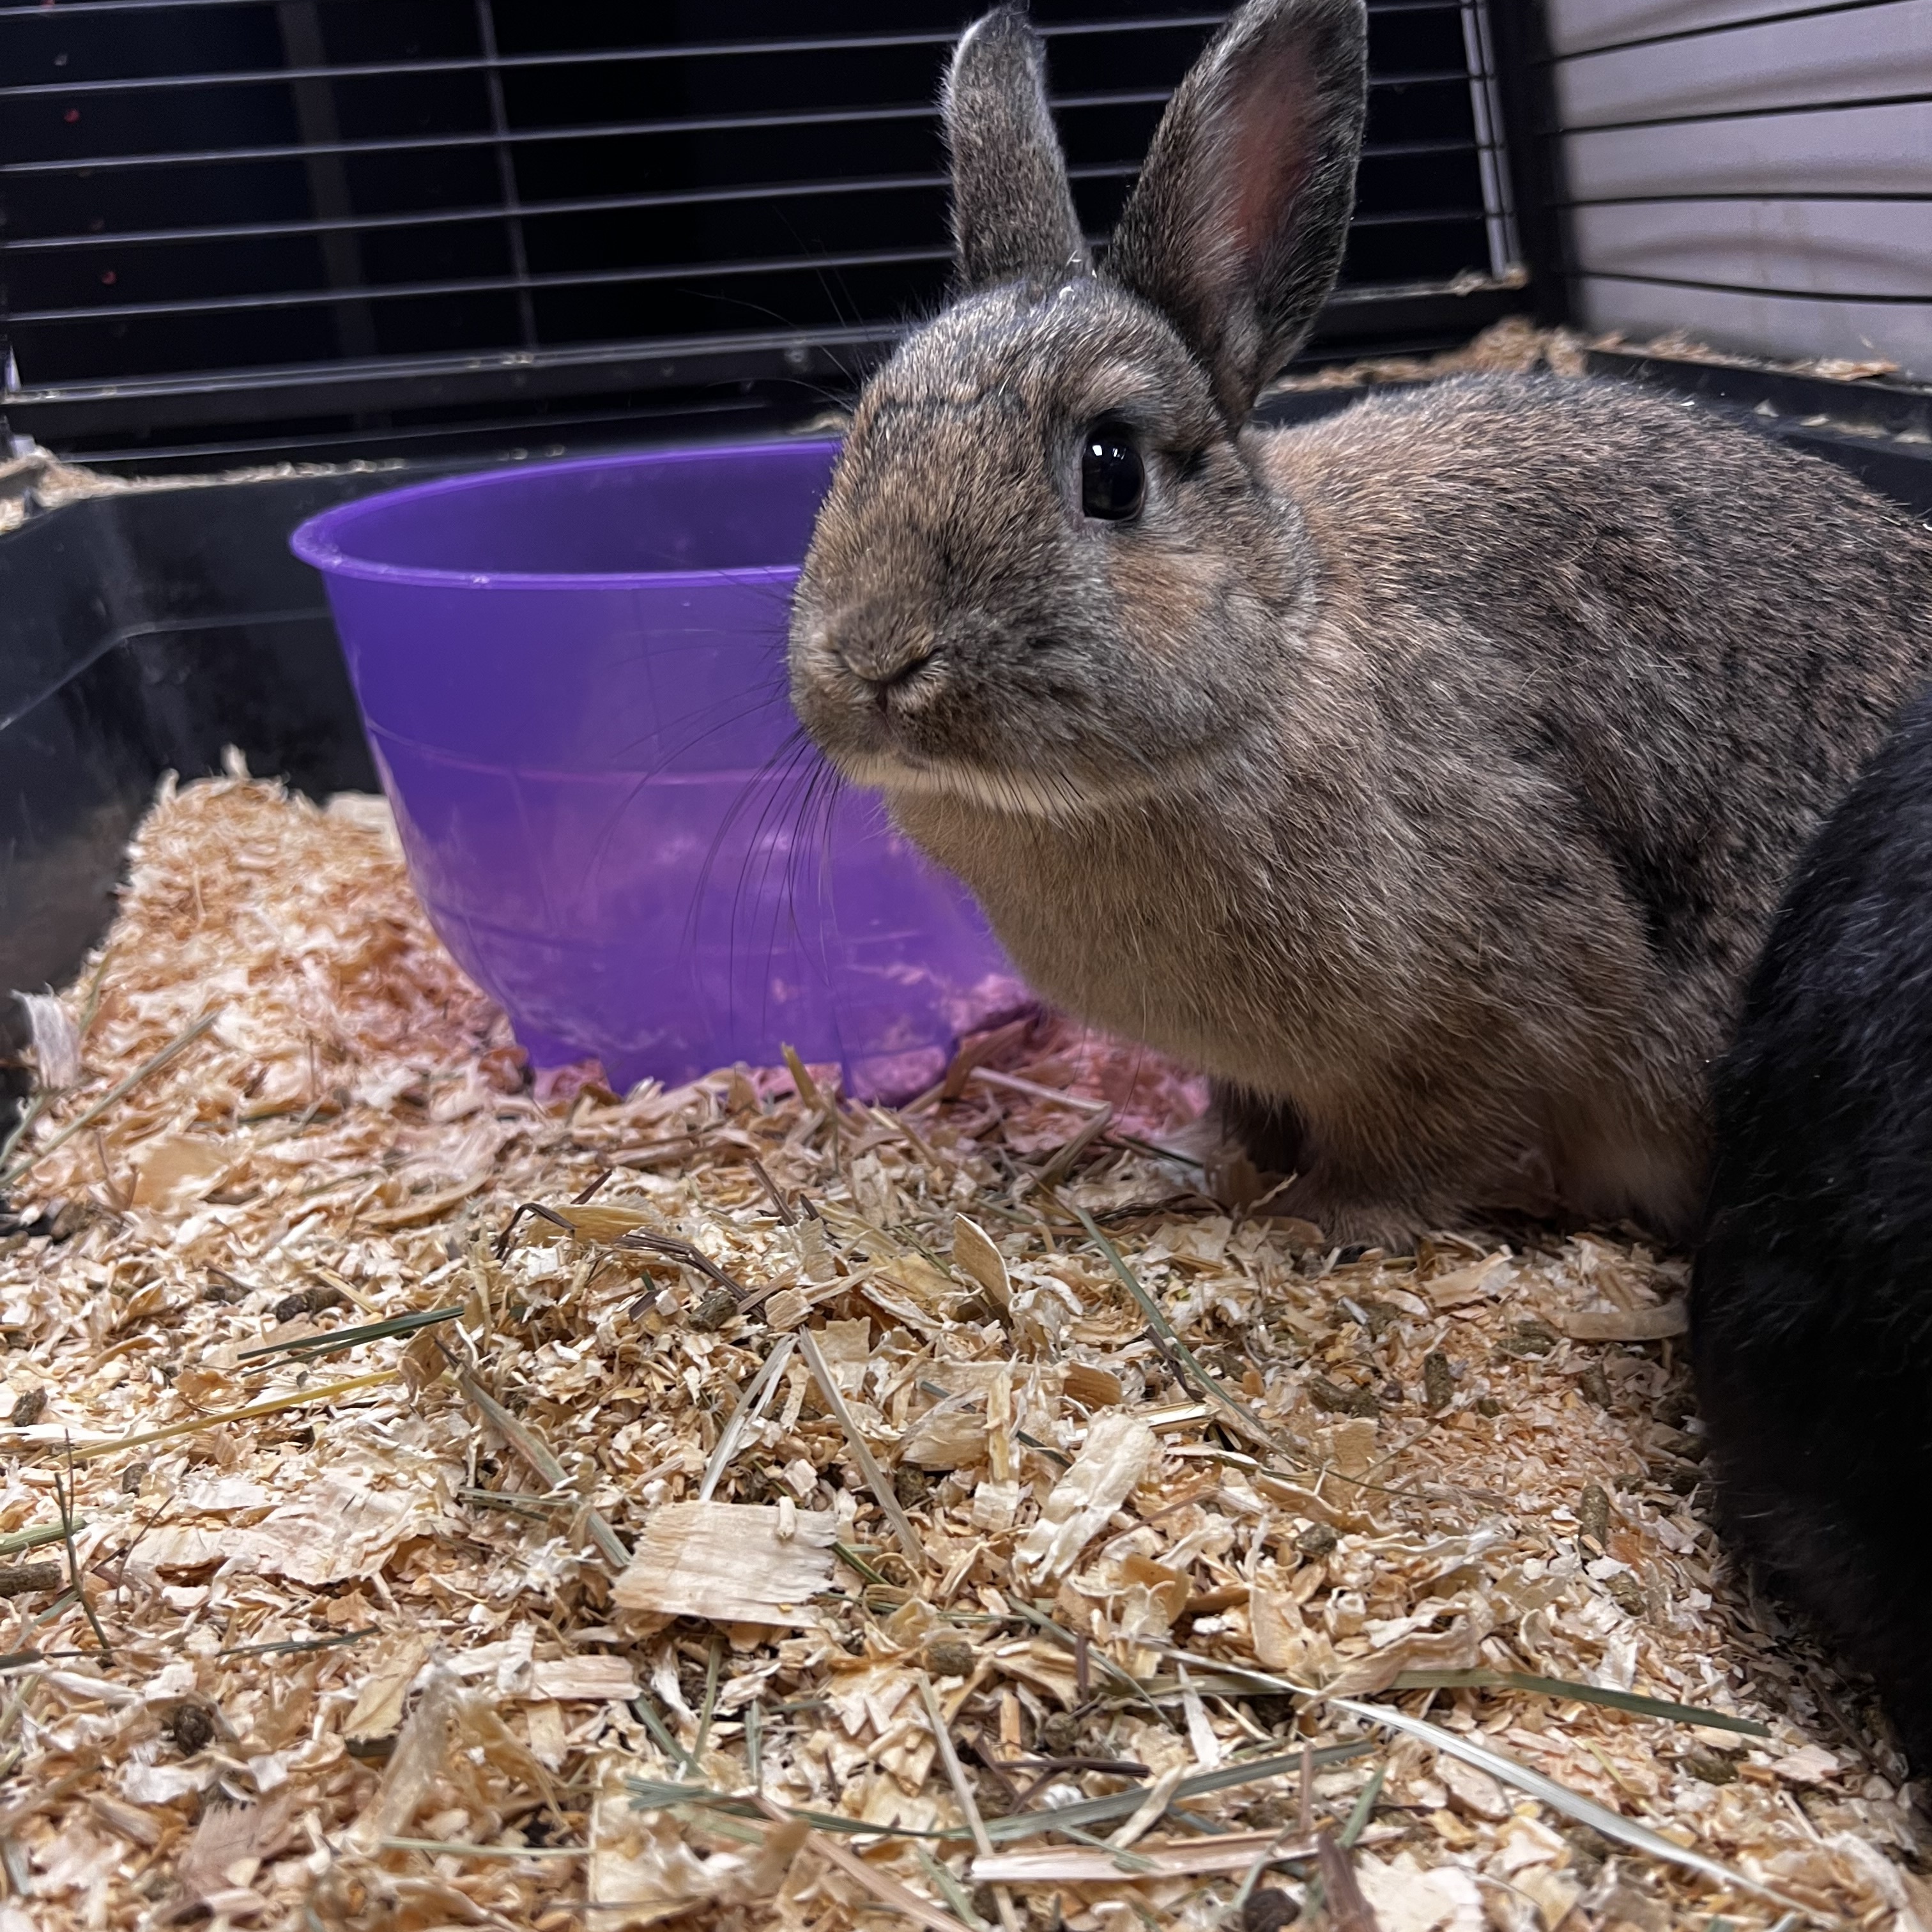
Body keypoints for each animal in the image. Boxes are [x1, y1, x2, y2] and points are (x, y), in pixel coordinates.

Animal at [787, 0, 1932, 1247]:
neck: (1280, 649)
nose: (876, 657)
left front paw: (1325, 1221)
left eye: (1111, 469)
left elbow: (1430, 1140)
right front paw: (1218, 1162)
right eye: (861, 430)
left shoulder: (1494, 1003)